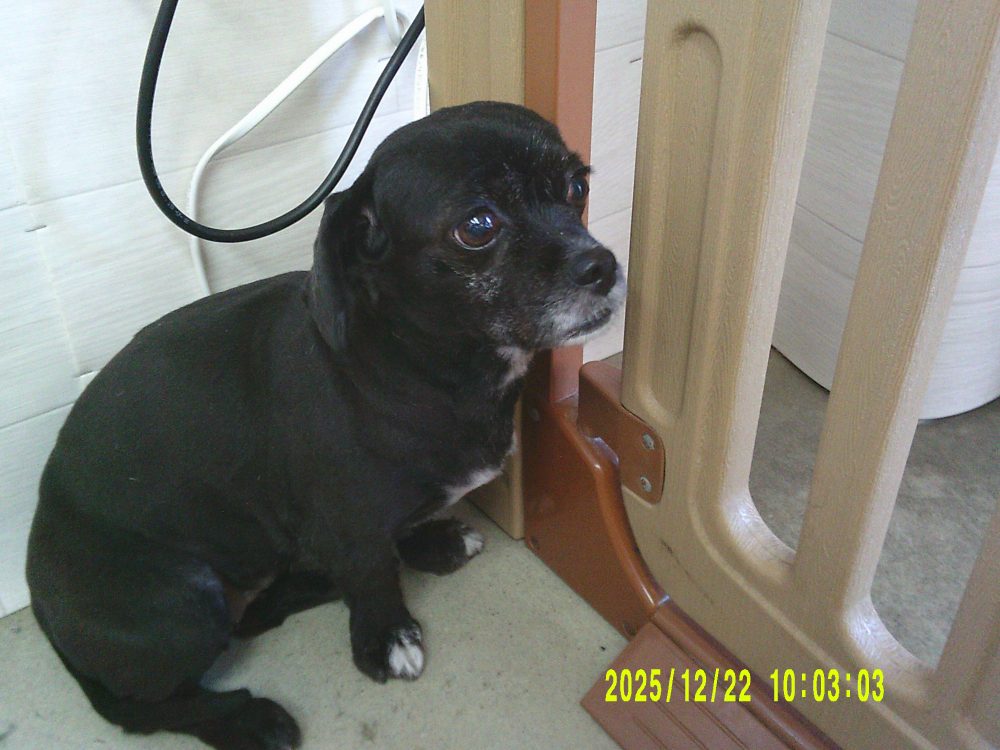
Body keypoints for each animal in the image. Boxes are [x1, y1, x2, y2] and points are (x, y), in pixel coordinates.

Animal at [26, 101, 623, 750]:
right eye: (478, 225)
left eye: (578, 187)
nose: (602, 265)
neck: (416, 363)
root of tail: (40, 602)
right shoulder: (350, 526)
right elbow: (371, 575)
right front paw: (385, 638)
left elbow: (379, 550)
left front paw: (423, 544)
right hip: (183, 604)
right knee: (153, 706)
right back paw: (248, 719)